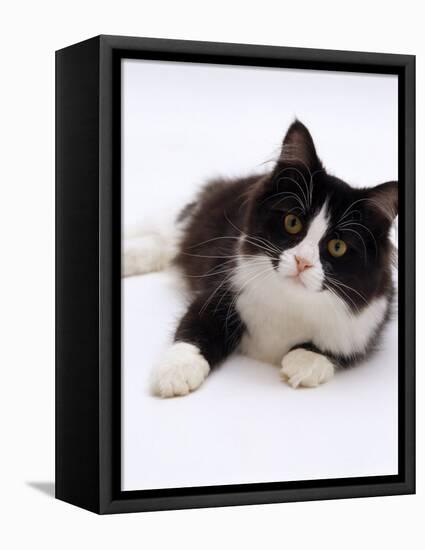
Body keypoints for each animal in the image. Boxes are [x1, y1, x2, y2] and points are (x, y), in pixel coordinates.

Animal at [123, 121, 398, 398]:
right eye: (292, 222)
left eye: (337, 246)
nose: (302, 261)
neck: (292, 300)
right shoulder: (221, 289)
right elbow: (195, 329)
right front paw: (176, 371)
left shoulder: (365, 325)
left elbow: (337, 349)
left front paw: (305, 361)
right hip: (187, 223)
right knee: (163, 237)